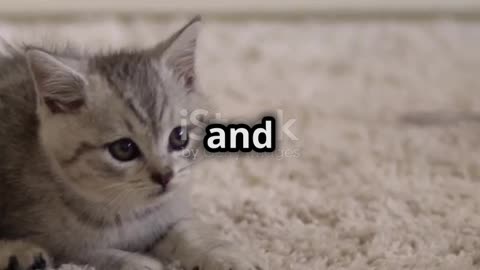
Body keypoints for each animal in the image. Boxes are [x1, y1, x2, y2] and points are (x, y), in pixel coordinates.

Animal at [0, 16, 262, 270]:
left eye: (179, 137)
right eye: (123, 149)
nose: (165, 176)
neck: (128, 214)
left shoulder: (168, 214)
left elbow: (188, 232)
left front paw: (225, 256)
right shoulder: (59, 244)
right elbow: (94, 254)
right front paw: (138, 262)